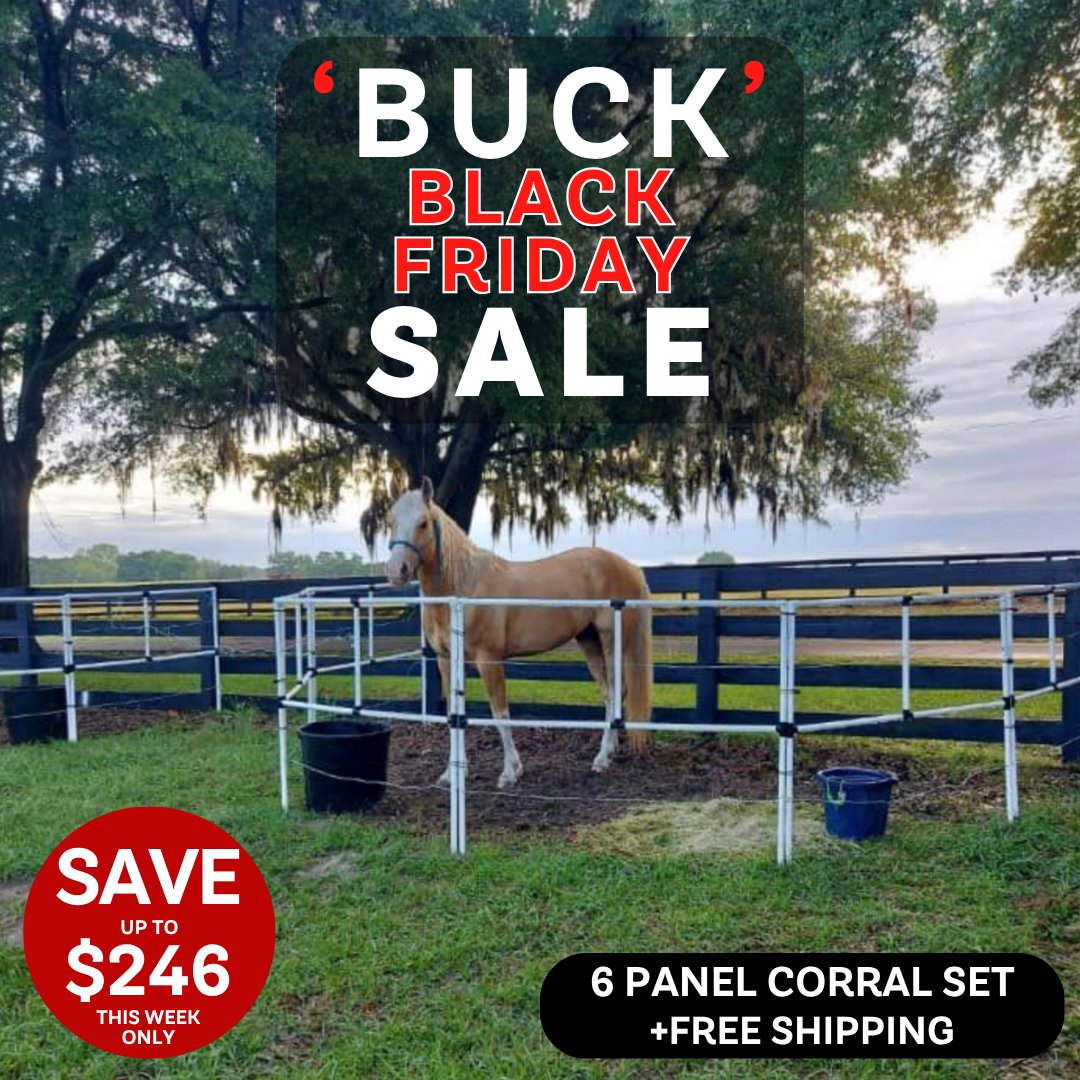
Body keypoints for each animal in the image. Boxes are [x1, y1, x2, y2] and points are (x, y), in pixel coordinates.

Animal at [384, 478, 652, 787]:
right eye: (391, 521)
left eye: (423, 523)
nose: (396, 570)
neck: (462, 589)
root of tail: (631, 568)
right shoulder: (446, 660)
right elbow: (454, 713)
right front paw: (451, 774)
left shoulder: (489, 660)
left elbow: (500, 713)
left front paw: (510, 772)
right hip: (589, 640)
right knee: (608, 693)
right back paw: (605, 756)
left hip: (611, 641)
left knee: (617, 691)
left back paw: (601, 758)